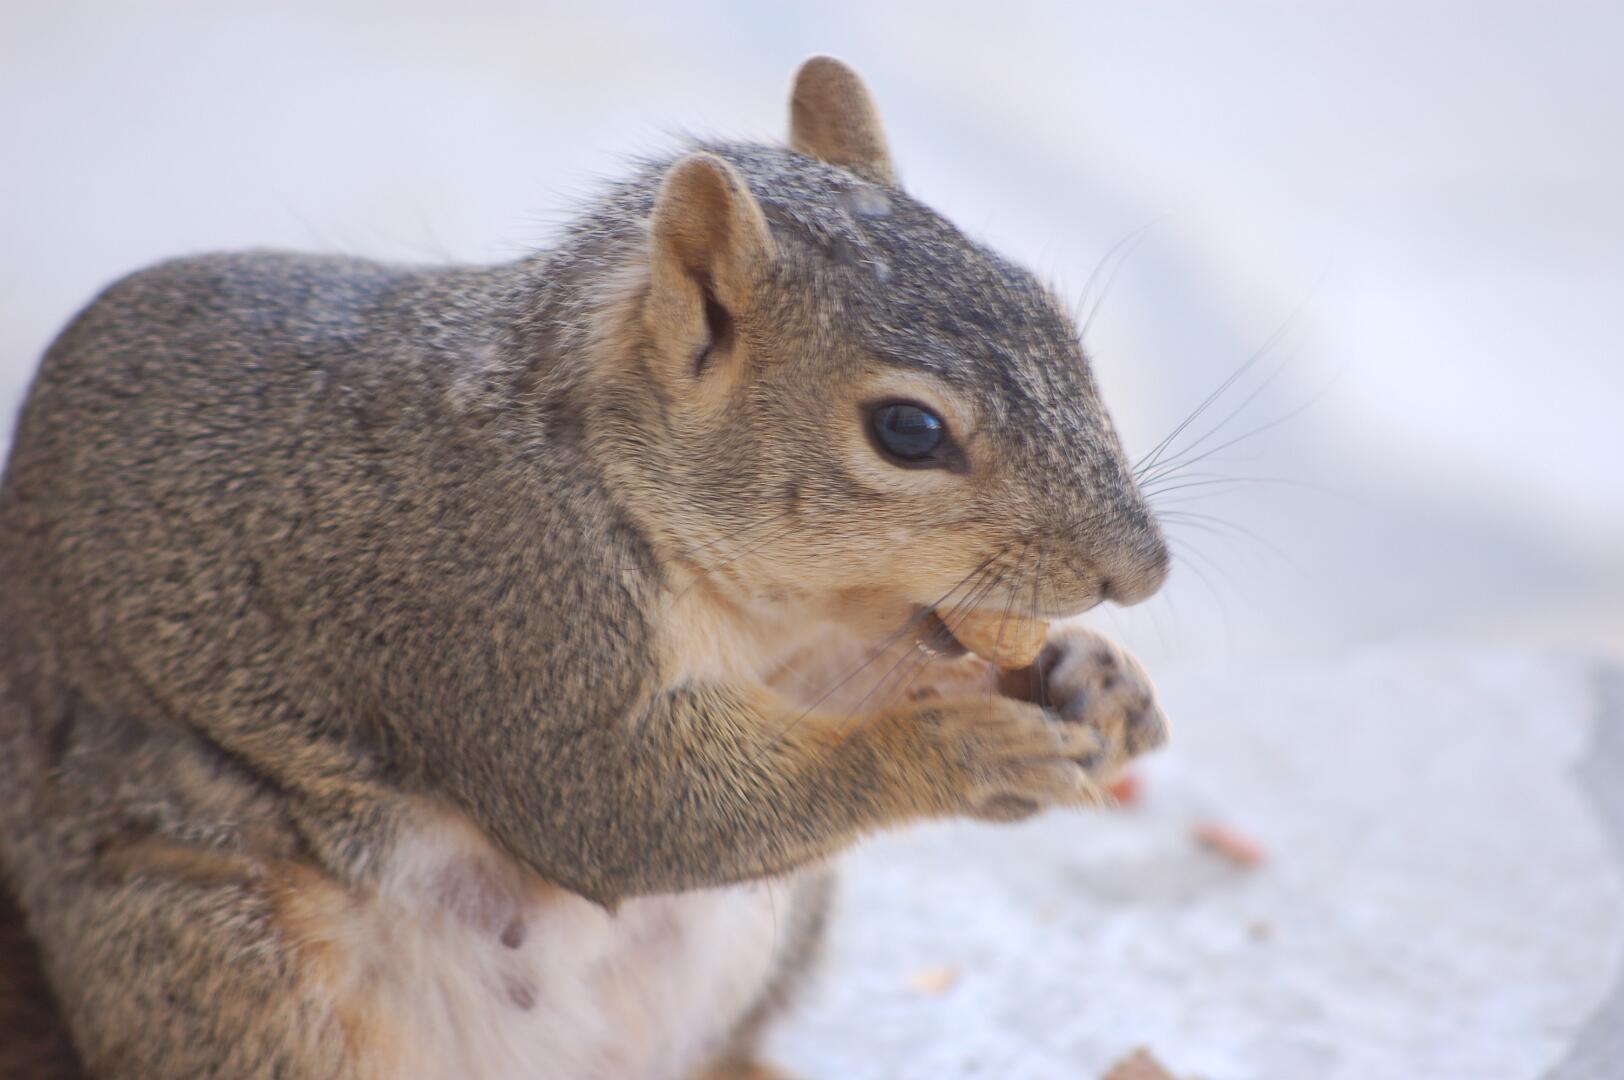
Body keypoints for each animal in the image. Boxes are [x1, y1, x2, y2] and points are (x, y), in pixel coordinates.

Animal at [0, 56, 1170, 1080]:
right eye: (908, 431)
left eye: (1049, 313)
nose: (1142, 572)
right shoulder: (496, 598)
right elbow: (614, 805)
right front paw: (950, 748)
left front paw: (1090, 676)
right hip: (232, 961)